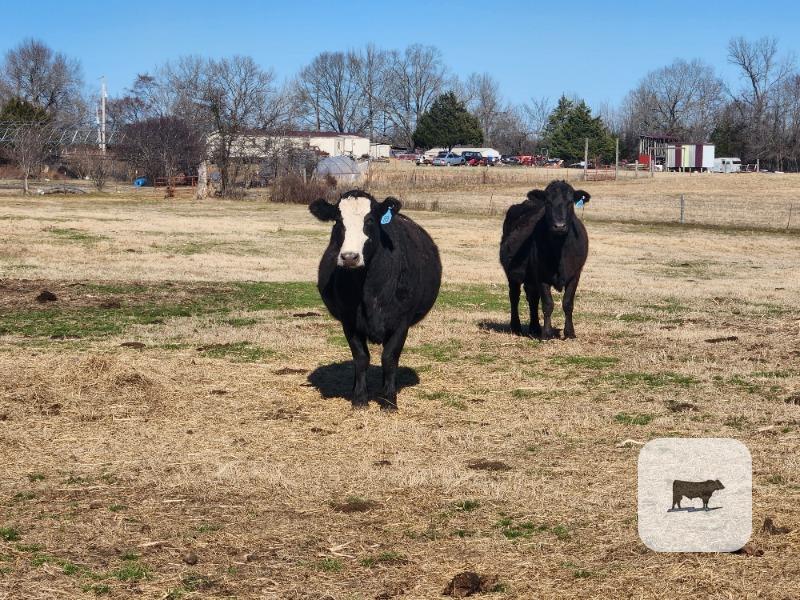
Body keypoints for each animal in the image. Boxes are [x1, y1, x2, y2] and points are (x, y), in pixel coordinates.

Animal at [309, 190, 442, 410]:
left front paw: (388, 399)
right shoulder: (349, 321)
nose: (349, 257)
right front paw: (360, 398)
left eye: (370, 220)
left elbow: (389, 358)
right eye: (338, 220)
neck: (369, 292)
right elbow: (361, 358)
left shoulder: (401, 322)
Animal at [499, 180, 590, 339]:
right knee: (514, 296)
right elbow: (548, 304)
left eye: (570, 202)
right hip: (512, 274)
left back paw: (535, 327)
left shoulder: (575, 274)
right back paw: (516, 327)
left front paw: (570, 332)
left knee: (532, 298)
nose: (559, 226)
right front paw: (547, 334)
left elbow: (568, 303)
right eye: (548, 202)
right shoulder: (541, 274)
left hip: (530, 278)